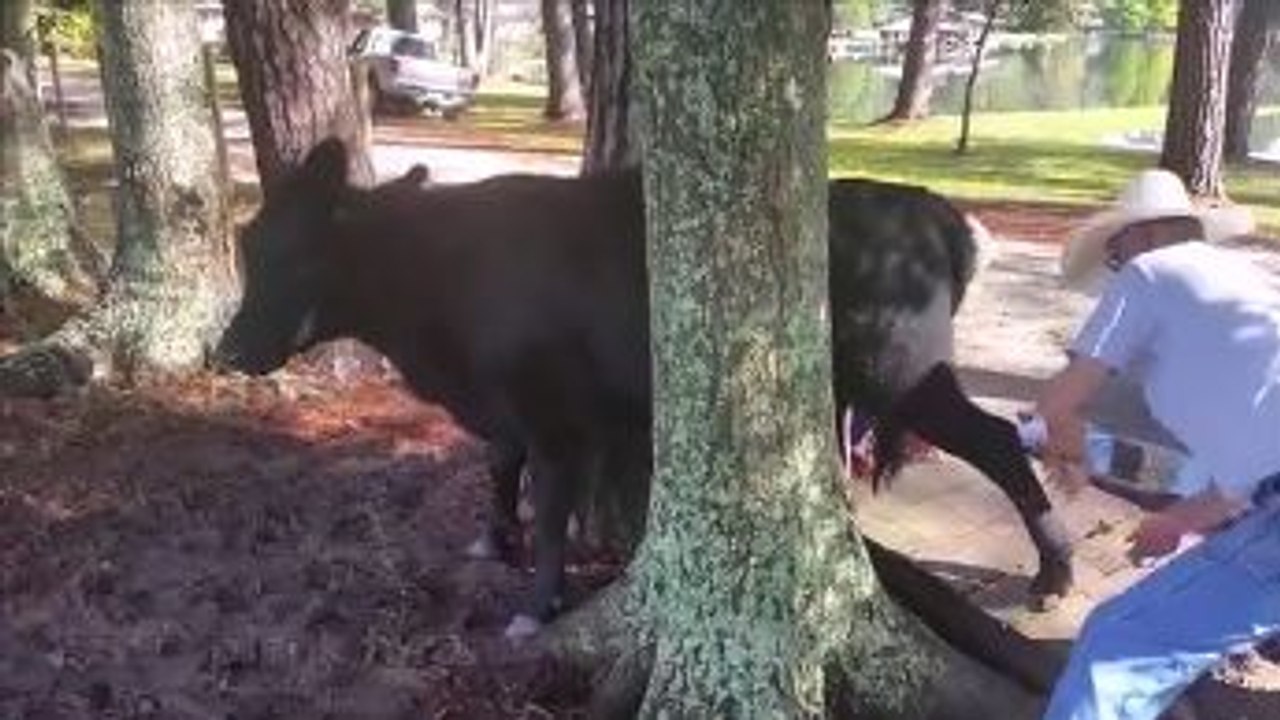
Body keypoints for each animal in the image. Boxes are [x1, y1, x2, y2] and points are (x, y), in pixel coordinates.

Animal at [215, 139, 1072, 636]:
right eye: (247, 243)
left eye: (292, 255)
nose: (225, 351)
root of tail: (931, 209)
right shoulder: (512, 407)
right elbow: (498, 467)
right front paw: (493, 539)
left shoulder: (558, 417)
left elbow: (552, 510)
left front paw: (535, 609)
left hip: (905, 372)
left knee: (998, 441)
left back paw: (1053, 574)